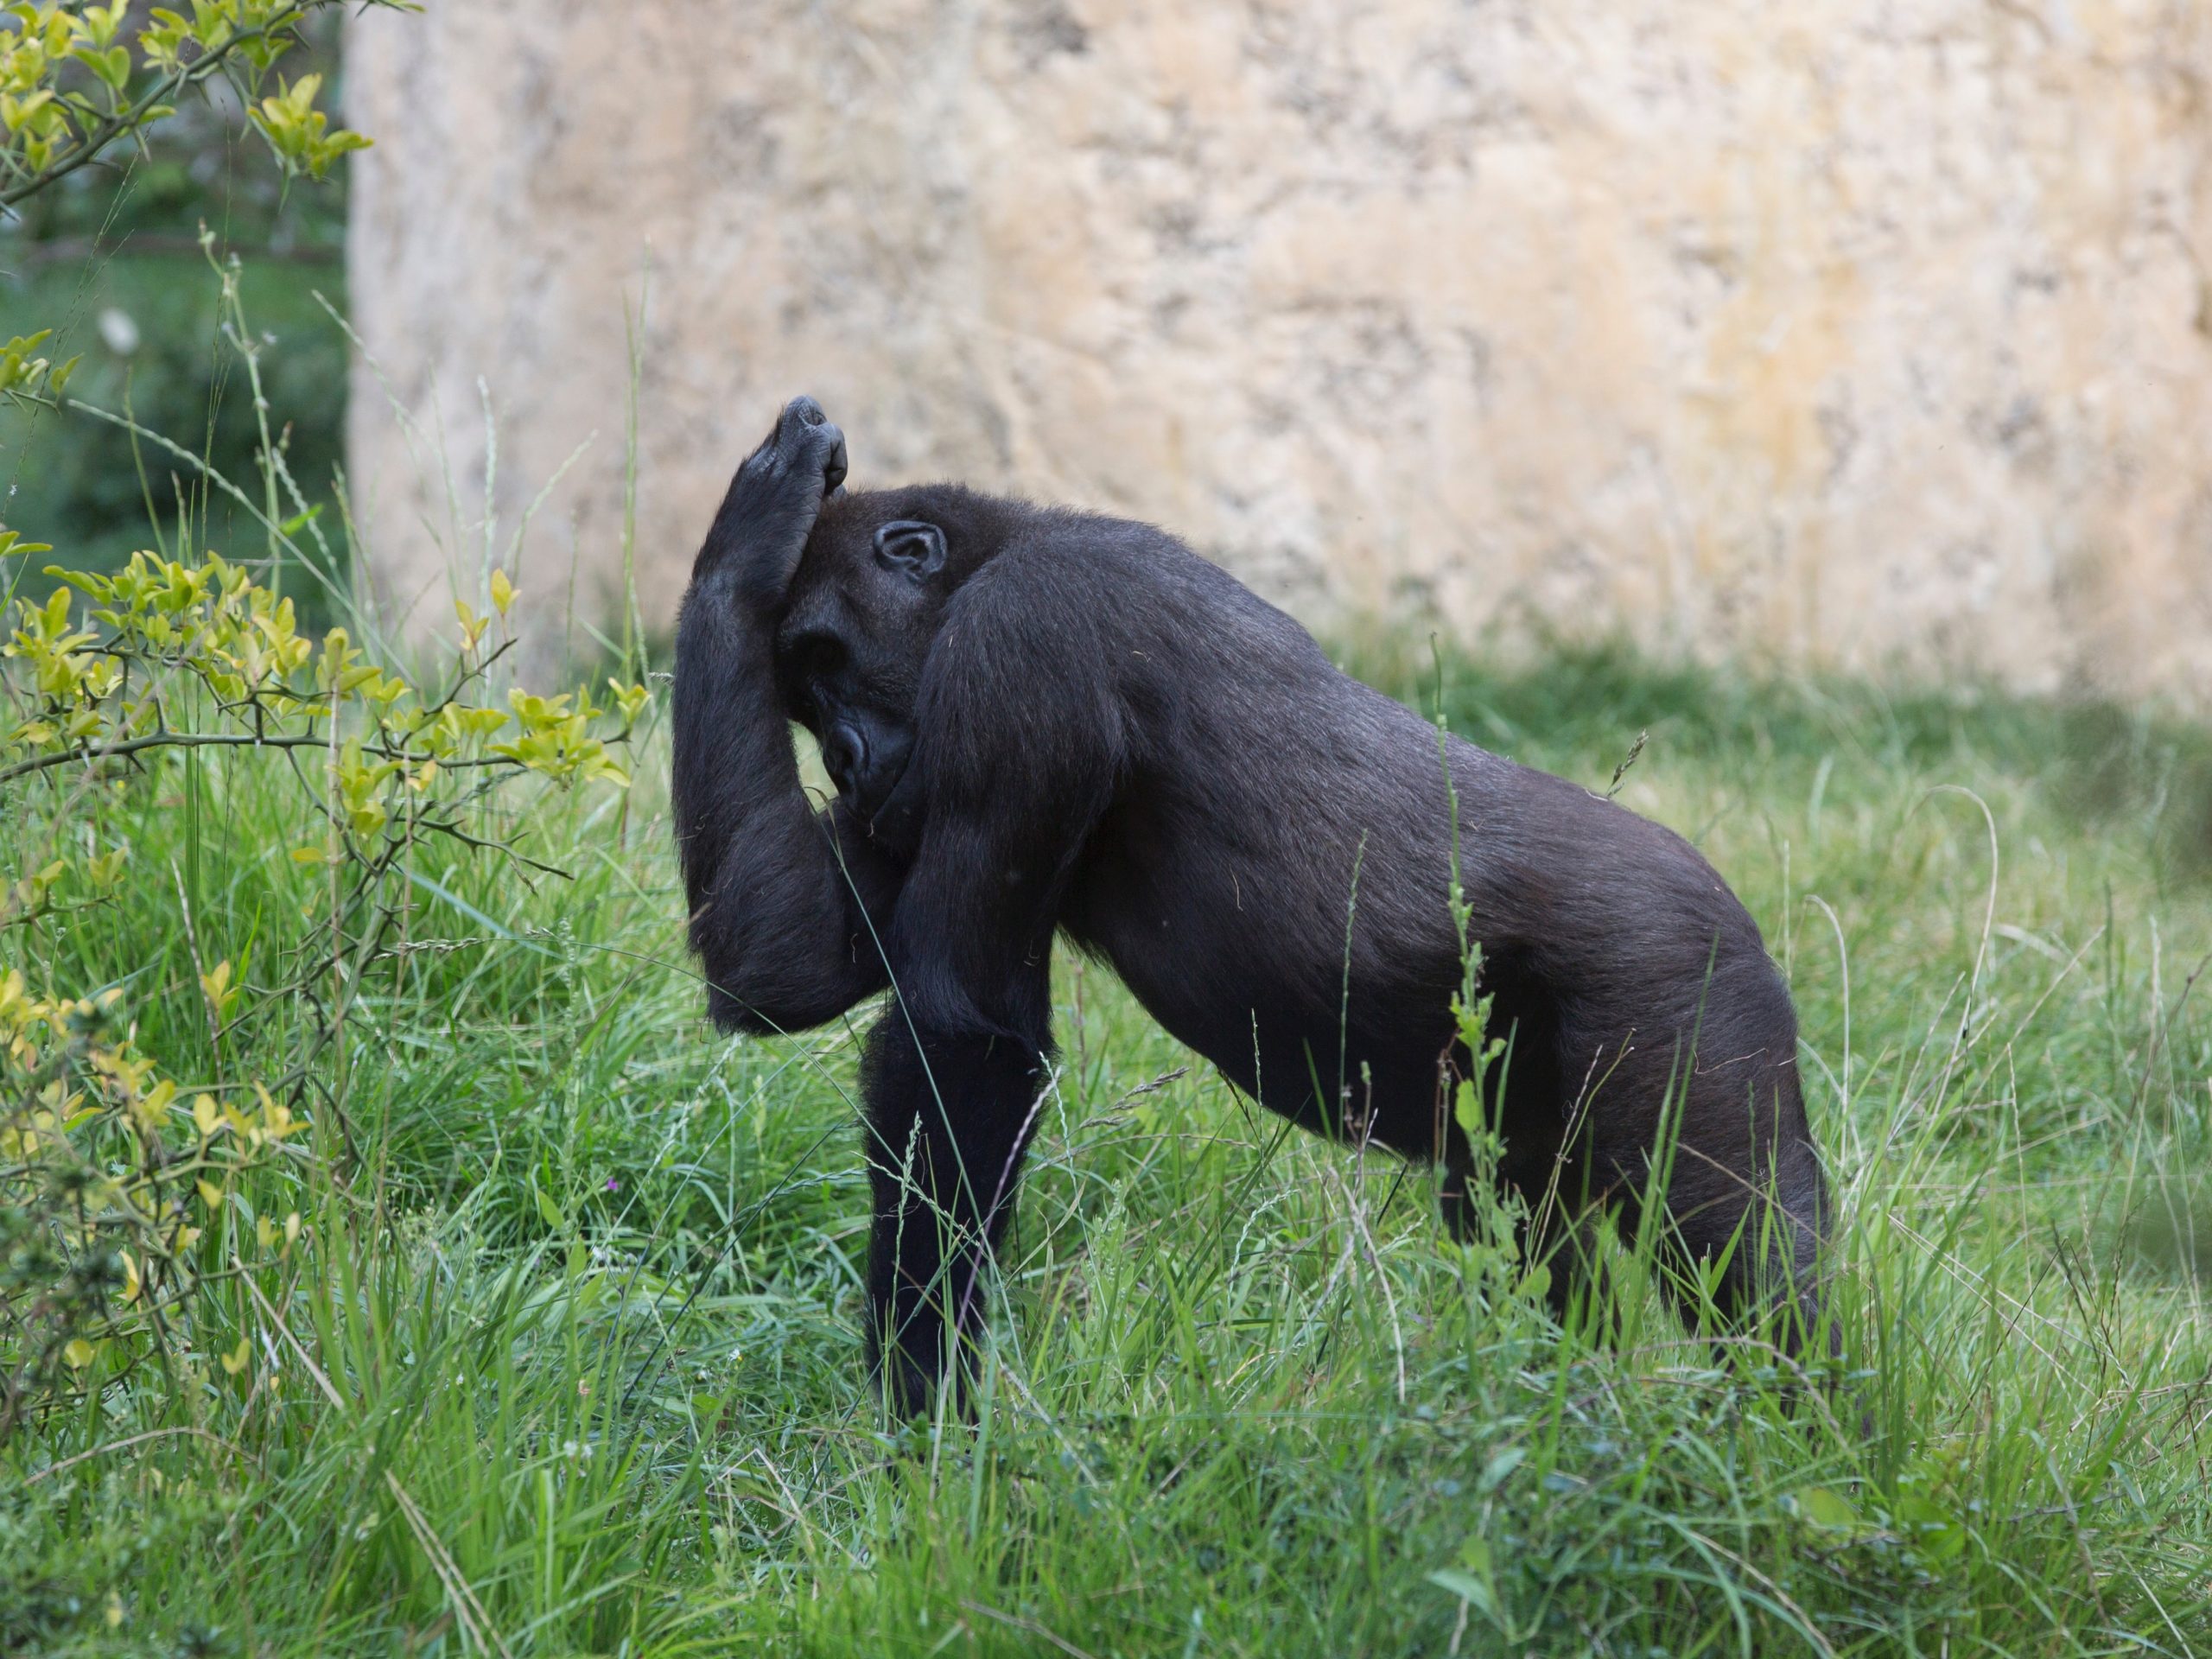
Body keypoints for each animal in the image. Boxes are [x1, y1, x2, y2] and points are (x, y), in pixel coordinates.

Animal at [672, 400, 1831, 1415]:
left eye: (826, 659)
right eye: (800, 697)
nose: (844, 756)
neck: (998, 552)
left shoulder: (1027, 634)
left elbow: (964, 1040)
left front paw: (923, 1413)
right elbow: (788, 963)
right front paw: (744, 543)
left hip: (1676, 980)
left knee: (1738, 1247)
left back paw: (1797, 1438)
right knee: (1526, 1222)